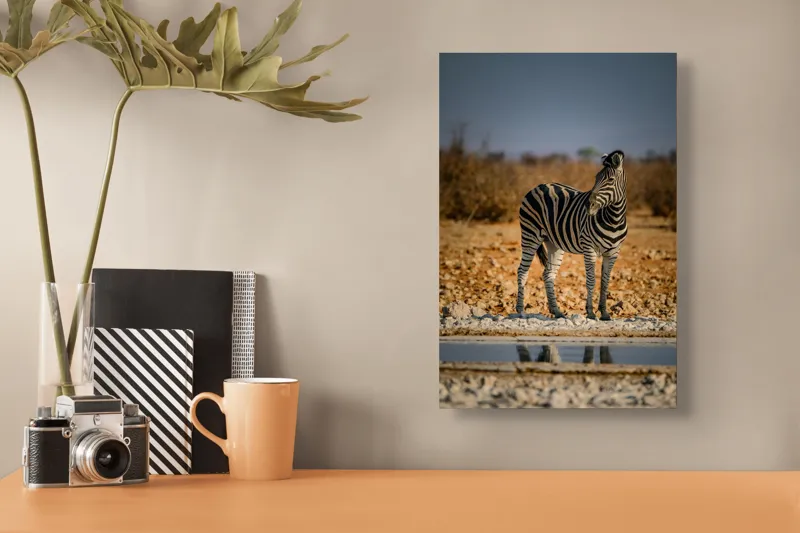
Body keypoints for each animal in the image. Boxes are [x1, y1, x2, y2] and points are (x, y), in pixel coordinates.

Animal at [515, 150, 627, 320]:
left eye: (610, 180)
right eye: (596, 178)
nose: (588, 205)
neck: (613, 219)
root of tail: (539, 185)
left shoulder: (614, 252)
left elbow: (605, 282)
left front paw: (605, 313)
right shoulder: (589, 248)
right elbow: (591, 280)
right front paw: (590, 313)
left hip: (554, 243)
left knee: (548, 274)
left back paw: (557, 311)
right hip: (530, 235)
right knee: (522, 271)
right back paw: (521, 311)